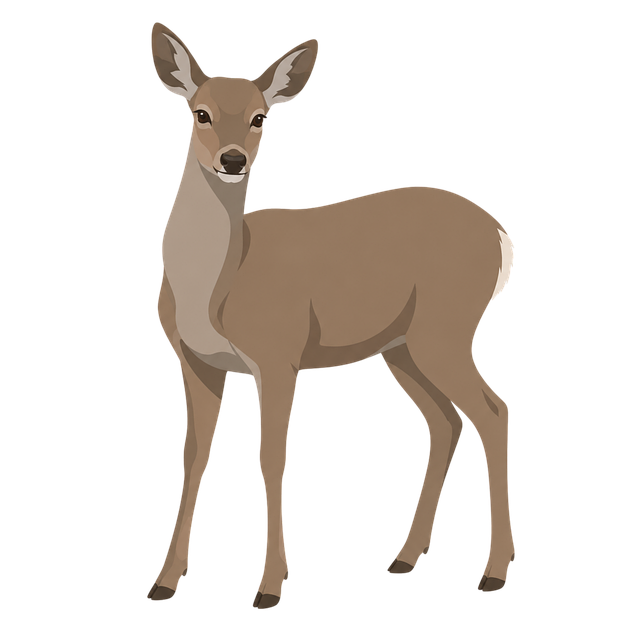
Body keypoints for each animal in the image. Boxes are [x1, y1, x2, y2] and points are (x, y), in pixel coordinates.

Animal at [147, 22, 517, 609]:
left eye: (260, 117)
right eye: (199, 112)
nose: (233, 160)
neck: (220, 282)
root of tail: (501, 235)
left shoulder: (277, 354)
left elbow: (272, 459)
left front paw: (269, 588)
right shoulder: (195, 361)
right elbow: (194, 458)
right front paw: (163, 584)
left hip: (445, 329)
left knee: (491, 410)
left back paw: (494, 574)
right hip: (402, 345)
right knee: (445, 417)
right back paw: (401, 560)